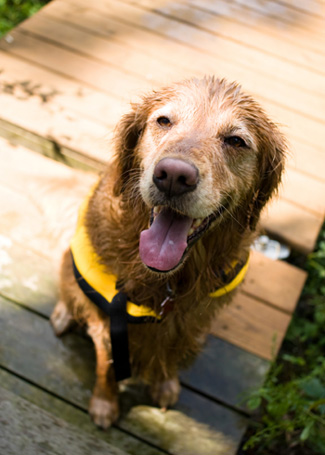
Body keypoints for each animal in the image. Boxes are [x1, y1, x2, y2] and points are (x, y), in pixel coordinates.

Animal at [49, 76, 284, 430]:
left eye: (235, 140)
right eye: (163, 121)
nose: (174, 175)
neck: (168, 281)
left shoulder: (192, 319)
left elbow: (171, 352)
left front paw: (164, 384)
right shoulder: (109, 318)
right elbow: (107, 364)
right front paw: (105, 403)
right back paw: (63, 314)